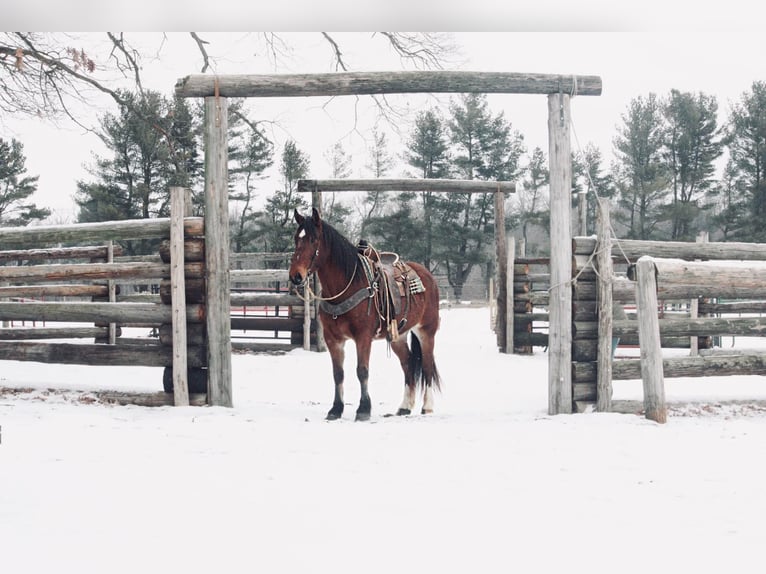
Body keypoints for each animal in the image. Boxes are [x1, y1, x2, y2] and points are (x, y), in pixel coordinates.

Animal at [290, 209, 444, 420]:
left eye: (314, 240)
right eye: (296, 238)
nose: (295, 276)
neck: (347, 286)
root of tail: (427, 275)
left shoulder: (363, 337)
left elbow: (362, 371)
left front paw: (363, 409)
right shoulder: (333, 339)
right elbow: (338, 374)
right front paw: (336, 409)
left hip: (426, 332)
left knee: (427, 366)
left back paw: (427, 407)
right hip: (398, 336)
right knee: (408, 365)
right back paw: (404, 407)